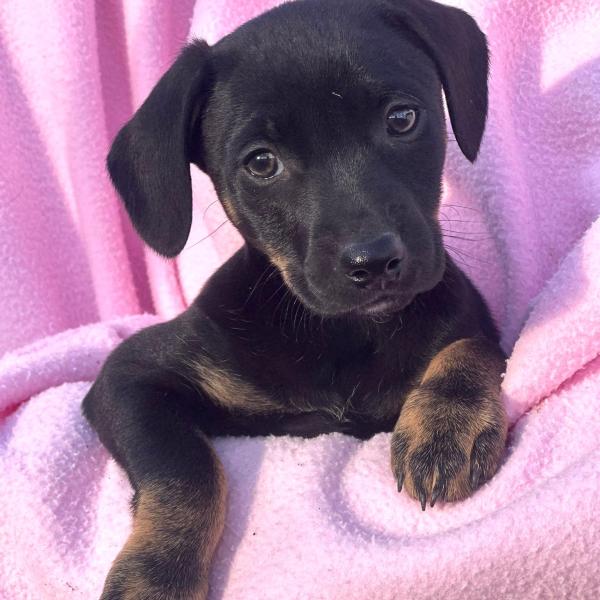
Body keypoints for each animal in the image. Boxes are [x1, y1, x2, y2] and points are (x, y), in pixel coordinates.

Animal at [83, 0, 508, 597]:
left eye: (402, 118)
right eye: (261, 163)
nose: (373, 261)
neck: (342, 334)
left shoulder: (472, 317)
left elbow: (469, 349)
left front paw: (447, 422)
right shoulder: (127, 379)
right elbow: (185, 468)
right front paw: (156, 572)